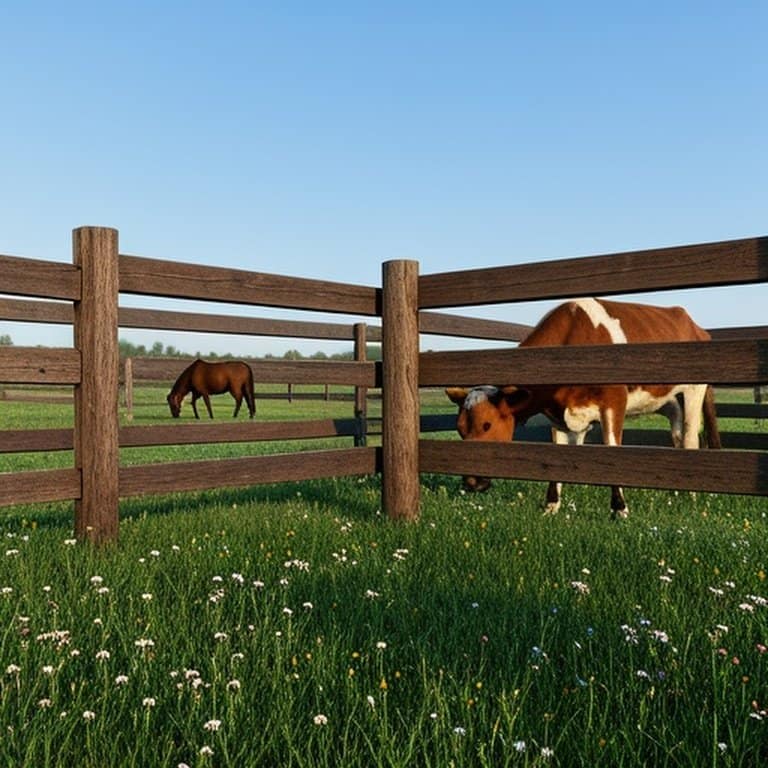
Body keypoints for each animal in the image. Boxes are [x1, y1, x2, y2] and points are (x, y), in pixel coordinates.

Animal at [445, 298, 721, 518]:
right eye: (459, 429)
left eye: (487, 424)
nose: (471, 481)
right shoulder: (558, 415)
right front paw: (551, 506)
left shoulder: (613, 403)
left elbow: (612, 450)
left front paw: (619, 509)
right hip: (670, 402)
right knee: (677, 437)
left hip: (693, 391)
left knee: (690, 439)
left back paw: (691, 496)